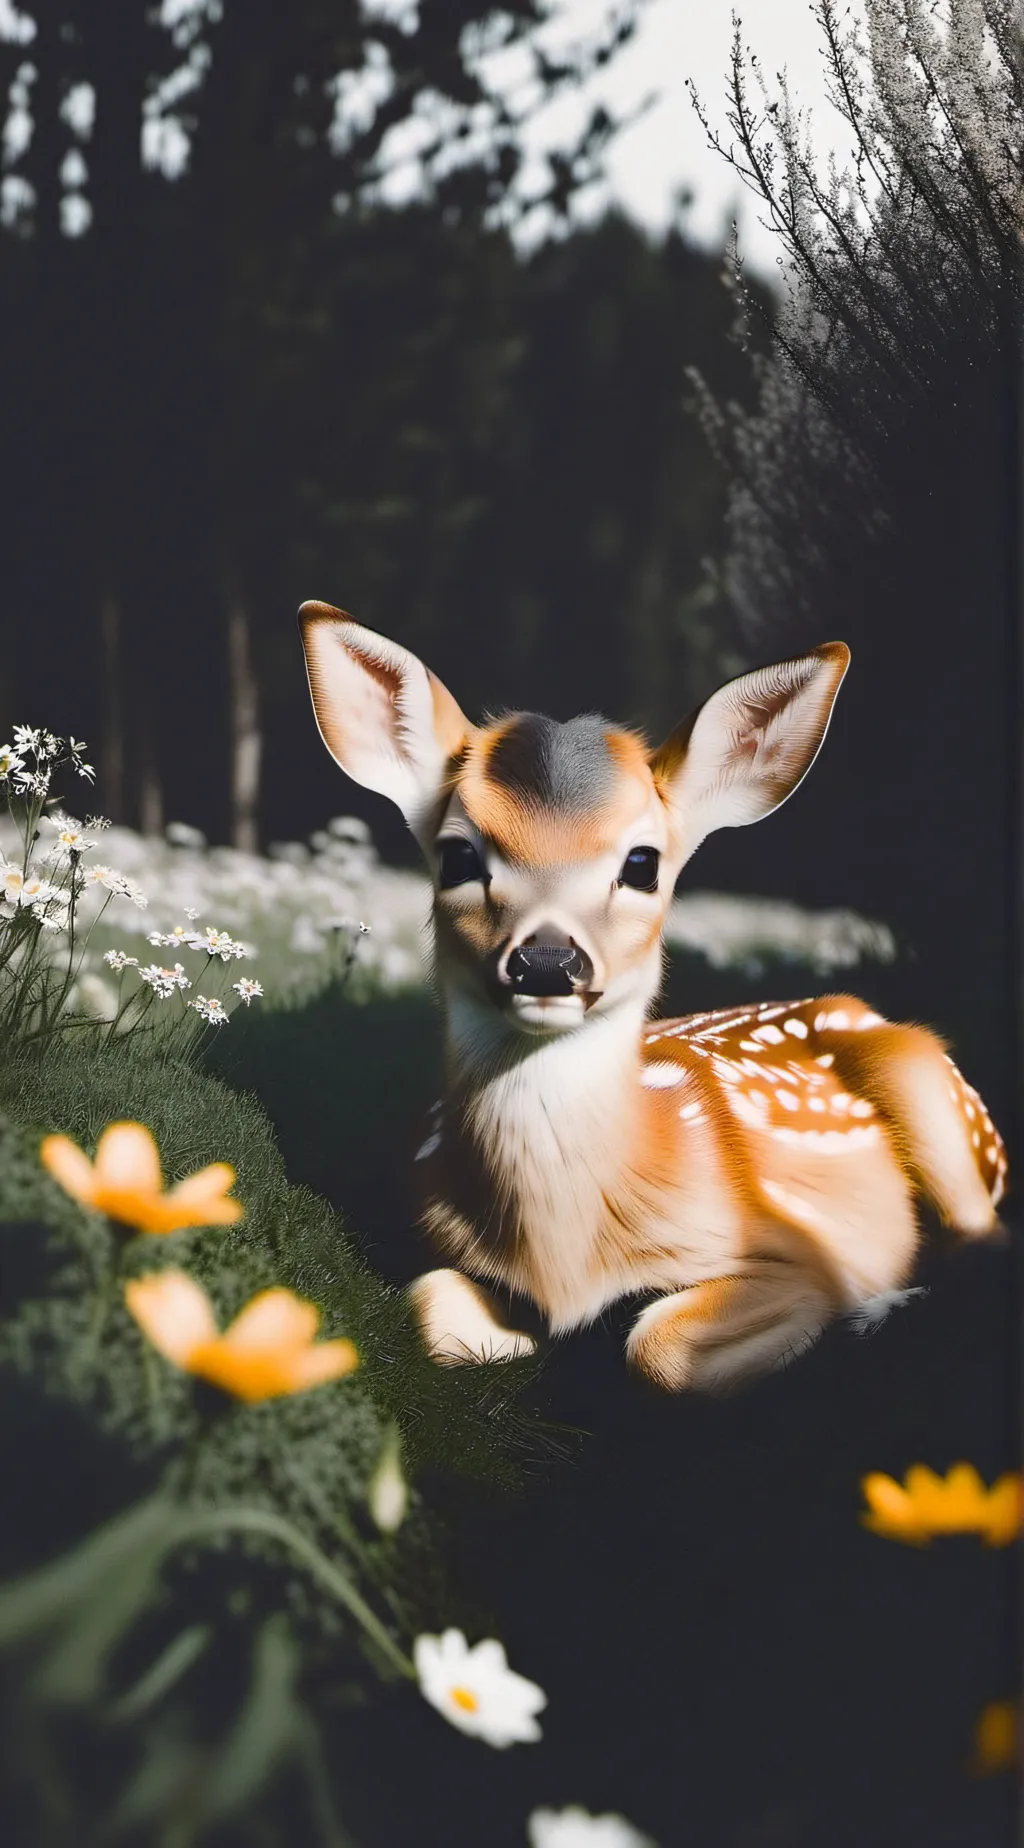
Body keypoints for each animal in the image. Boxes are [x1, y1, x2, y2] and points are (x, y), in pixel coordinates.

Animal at [298, 601, 1008, 1391]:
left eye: (642, 863)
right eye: (457, 856)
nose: (547, 961)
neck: (565, 1259)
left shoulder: (803, 1252)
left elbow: (659, 1347)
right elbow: (428, 1312)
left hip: (933, 1092)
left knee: (985, 1240)